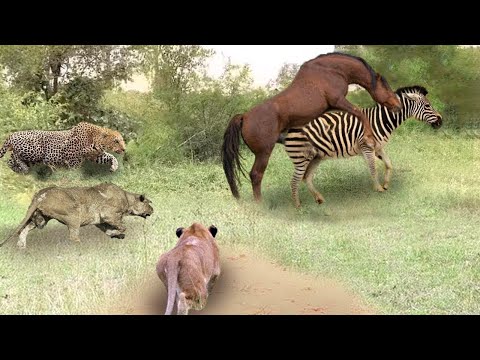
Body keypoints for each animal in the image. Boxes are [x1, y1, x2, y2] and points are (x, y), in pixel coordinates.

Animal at [221, 51, 402, 201]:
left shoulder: (332, 107)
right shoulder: (338, 101)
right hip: (263, 153)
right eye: (385, 86)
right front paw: (369, 138)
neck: (331, 70)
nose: (397, 104)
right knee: (256, 175)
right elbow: (359, 113)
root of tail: (244, 117)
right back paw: (261, 205)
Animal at [284, 85, 444, 208]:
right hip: (301, 157)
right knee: (294, 180)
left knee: (307, 177)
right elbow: (373, 169)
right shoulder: (367, 147)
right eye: (428, 105)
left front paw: (386, 184)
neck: (380, 120)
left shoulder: (378, 148)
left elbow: (389, 164)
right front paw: (378, 189)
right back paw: (298, 206)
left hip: (316, 157)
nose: (440, 121)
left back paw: (318, 199)